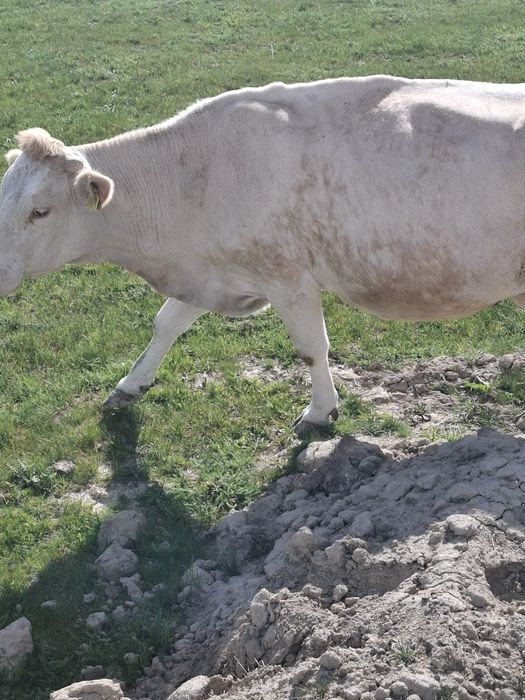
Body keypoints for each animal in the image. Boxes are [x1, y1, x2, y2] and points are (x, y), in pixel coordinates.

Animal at [2, 75, 525, 435]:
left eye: (40, 211)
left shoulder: (288, 278)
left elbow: (312, 347)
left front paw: (318, 412)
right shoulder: (212, 271)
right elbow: (166, 323)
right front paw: (131, 385)